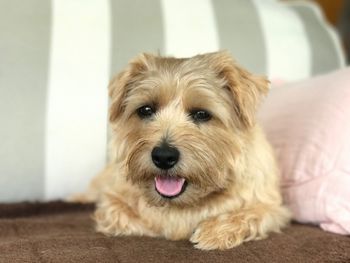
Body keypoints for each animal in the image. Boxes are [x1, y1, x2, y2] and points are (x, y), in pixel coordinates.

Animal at [76, 50, 290, 251]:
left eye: (202, 114)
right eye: (146, 110)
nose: (163, 156)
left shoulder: (271, 207)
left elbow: (248, 214)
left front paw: (213, 232)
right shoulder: (112, 203)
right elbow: (135, 217)